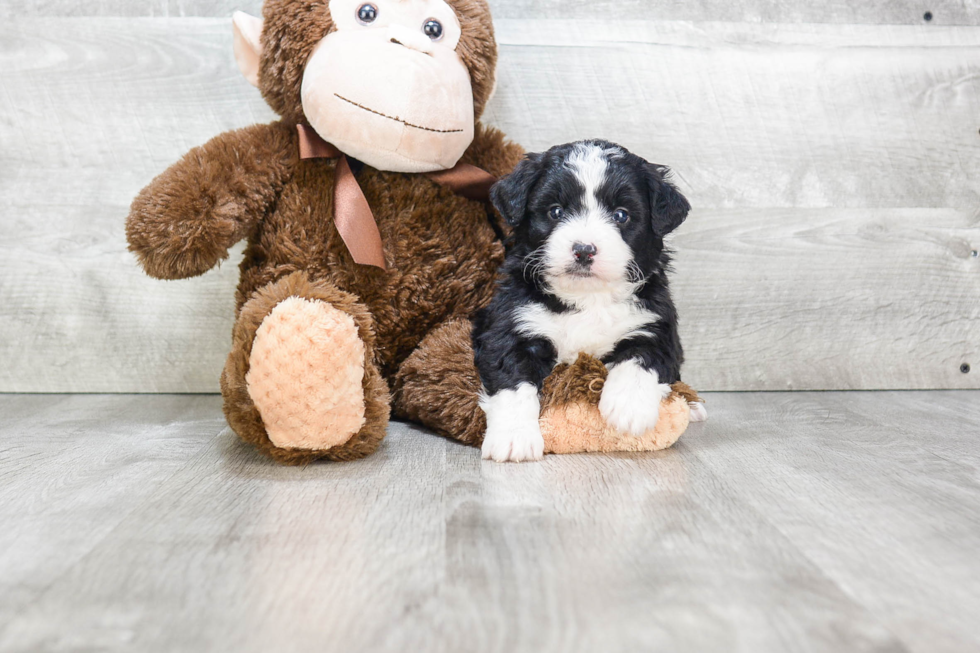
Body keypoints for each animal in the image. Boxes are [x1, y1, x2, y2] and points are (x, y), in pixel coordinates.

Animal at [474, 140, 704, 460]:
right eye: (556, 211)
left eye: (621, 215)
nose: (584, 249)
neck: (587, 297)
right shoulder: (510, 327)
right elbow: (513, 383)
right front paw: (513, 437)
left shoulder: (656, 326)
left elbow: (640, 358)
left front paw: (629, 408)